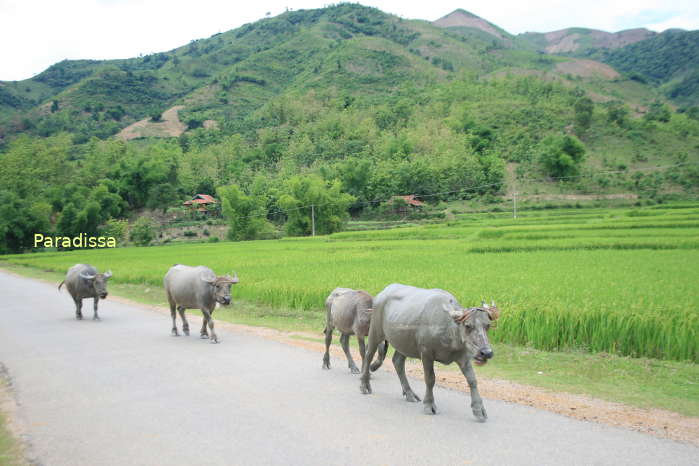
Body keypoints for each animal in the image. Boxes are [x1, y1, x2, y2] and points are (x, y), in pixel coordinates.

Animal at [358, 284, 500, 422]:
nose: (486, 353)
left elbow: (472, 380)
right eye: (468, 325)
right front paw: (429, 405)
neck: (448, 329)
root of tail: (382, 294)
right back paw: (364, 385)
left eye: (487, 325)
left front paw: (479, 410)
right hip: (375, 332)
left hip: (404, 343)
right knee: (368, 354)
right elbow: (430, 379)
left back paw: (409, 393)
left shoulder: (463, 356)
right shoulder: (426, 353)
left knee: (397, 362)